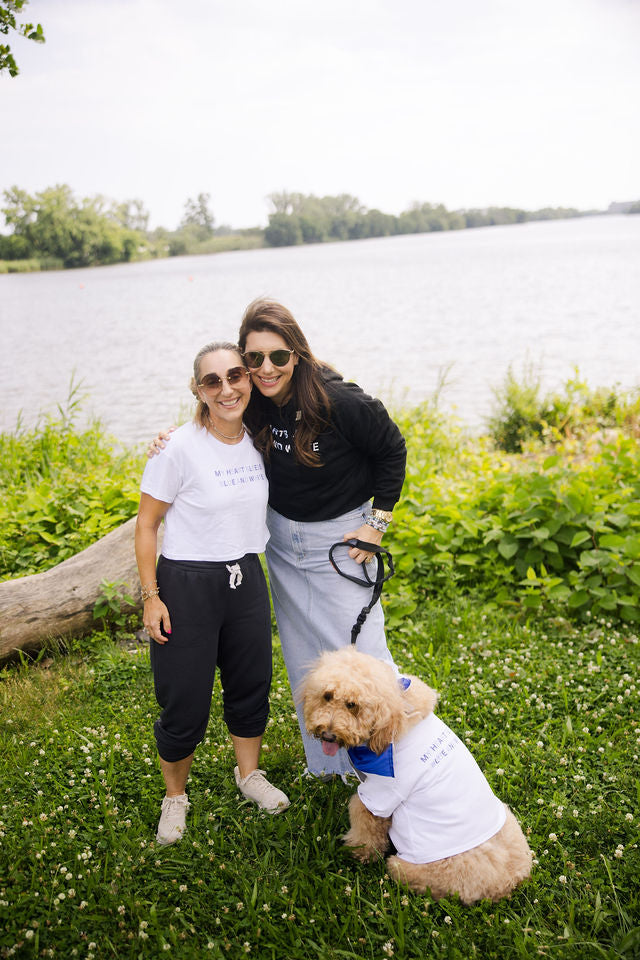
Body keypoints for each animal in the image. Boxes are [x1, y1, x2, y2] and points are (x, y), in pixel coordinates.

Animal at [300, 648, 528, 904]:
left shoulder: (381, 795)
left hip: (405, 867)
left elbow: (361, 817)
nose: (327, 735)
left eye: (352, 705)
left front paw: (358, 852)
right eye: (327, 696)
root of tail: (505, 884)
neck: (394, 717)